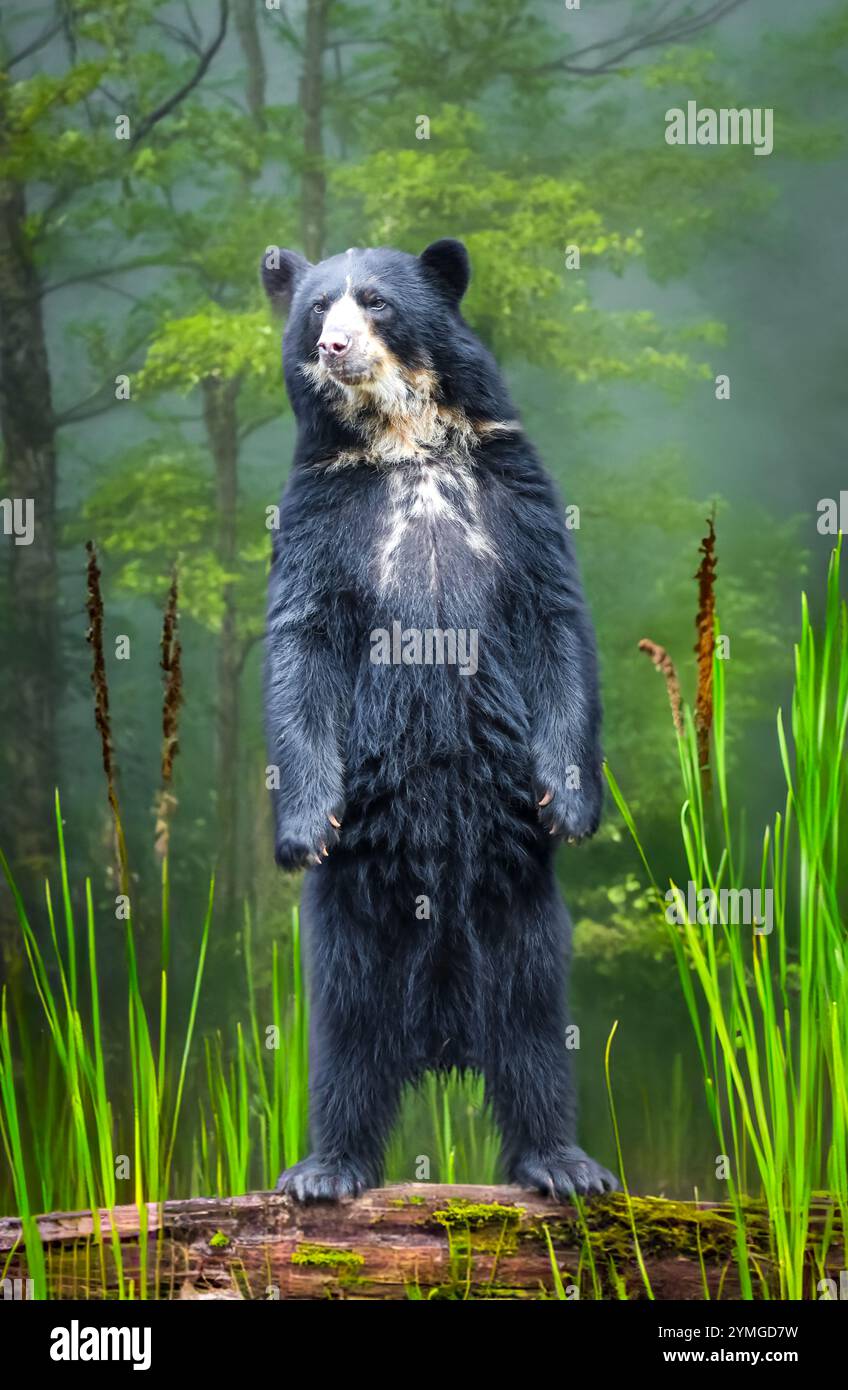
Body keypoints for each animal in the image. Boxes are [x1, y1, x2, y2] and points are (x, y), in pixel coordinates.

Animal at [260, 237, 618, 1203]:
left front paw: (570, 805)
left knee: (535, 1028)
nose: (335, 347)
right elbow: (302, 645)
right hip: (353, 910)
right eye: (318, 308)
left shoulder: (516, 495)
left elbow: (557, 620)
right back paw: (326, 1169)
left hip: (520, 903)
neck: (402, 443)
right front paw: (303, 827)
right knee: (345, 1033)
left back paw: (564, 1163)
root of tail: (442, 1041)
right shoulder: (317, 519)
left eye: (376, 302)